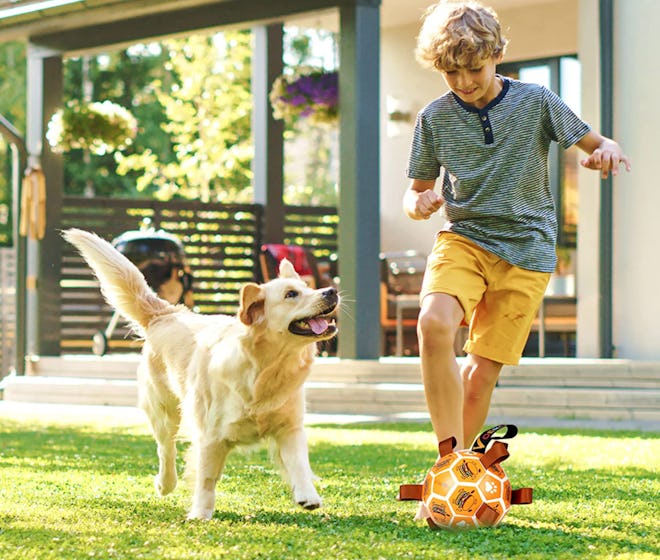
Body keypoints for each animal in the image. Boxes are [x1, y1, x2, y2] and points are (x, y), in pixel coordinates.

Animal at [63, 228, 340, 520]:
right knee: (166, 449)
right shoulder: (211, 436)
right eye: (291, 294)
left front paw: (308, 495)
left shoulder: (290, 427)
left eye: (309, 288)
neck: (266, 368)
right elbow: (206, 479)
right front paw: (200, 513)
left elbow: (299, 463)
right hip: (164, 411)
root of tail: (168, 313)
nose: (331, 291)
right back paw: (165, 484)